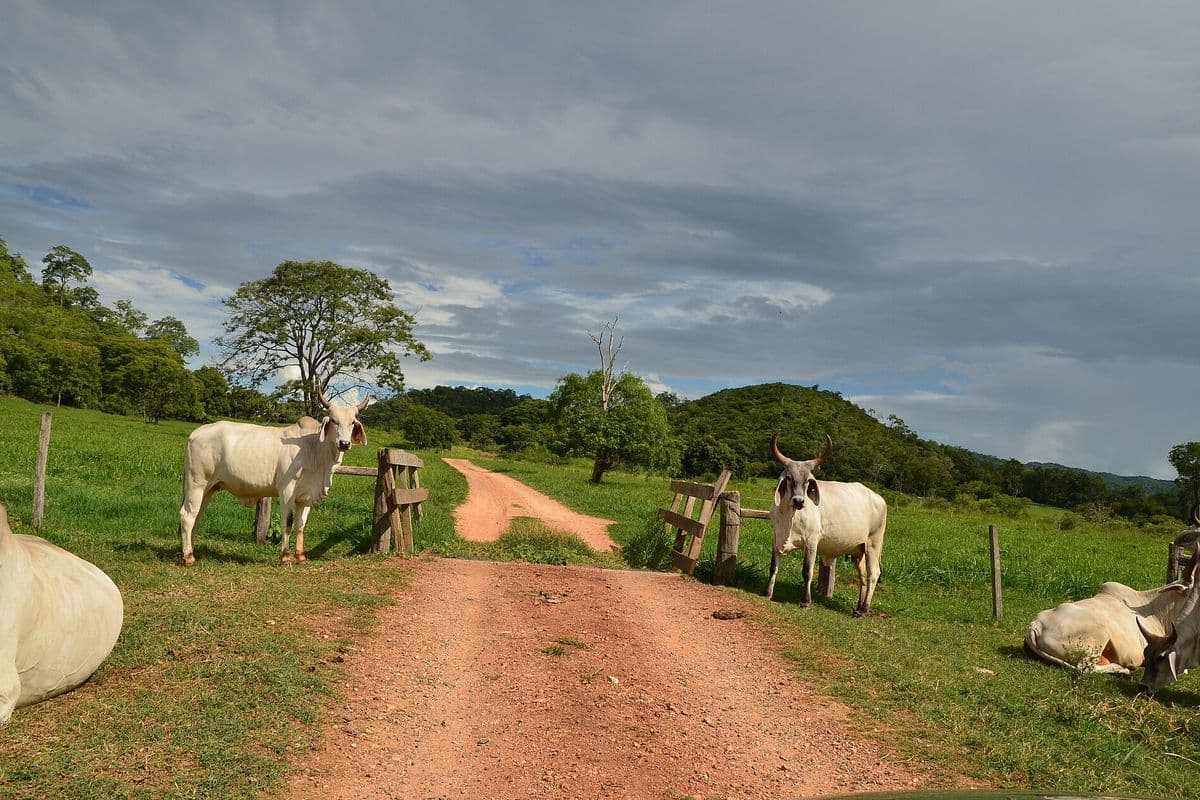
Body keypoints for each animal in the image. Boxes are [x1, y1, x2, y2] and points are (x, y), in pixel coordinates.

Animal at [179, 390, 369, 565]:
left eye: (353, 422)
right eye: (334, 420)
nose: (344, 443)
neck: (314, 450)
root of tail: (195, 433)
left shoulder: (306, 496)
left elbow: (301, 525)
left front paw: (301, 556)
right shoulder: (286, 491)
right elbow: (288, 523)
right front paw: (285, 557)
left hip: (209, 488)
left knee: (197, 517)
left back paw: (191, 551)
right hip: (196, 484)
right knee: (187, 516)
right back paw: (188, 557)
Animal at [766, 434, 888, 616]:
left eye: (808, 481)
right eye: (789, 478)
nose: (799, 501)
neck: (789, 518)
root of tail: (879, 498)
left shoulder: (811, 541)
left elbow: (807, 571)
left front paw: (806, 601)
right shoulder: (777, 537)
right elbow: (773, 567)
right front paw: (767, 593)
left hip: (873, 544)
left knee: (873, 574)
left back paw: (864, 609)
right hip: (858, 550)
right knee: (863, 576)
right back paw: (858, 607)